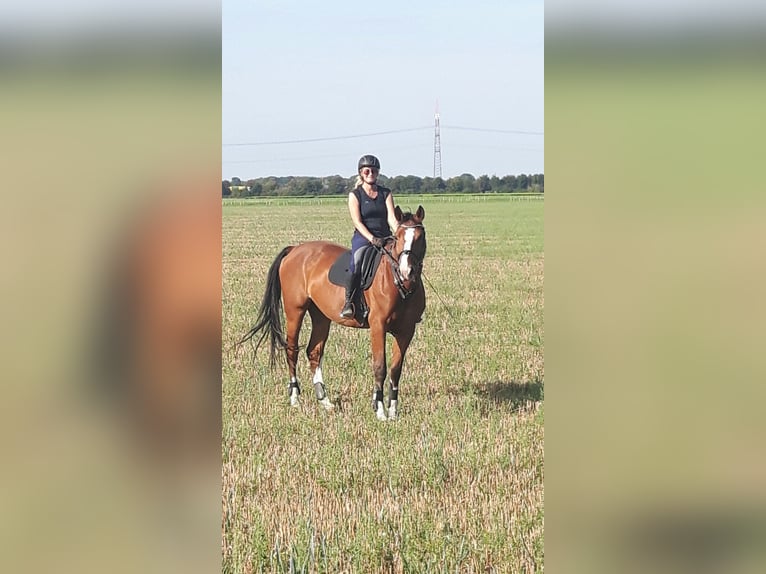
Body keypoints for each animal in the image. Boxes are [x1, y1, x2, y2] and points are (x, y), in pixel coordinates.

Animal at [240, 205, 426, 421]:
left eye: (420, 237)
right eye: (398, 237)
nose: (407, 272)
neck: (397, 283)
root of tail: (294, 249)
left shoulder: (406, 331)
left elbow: (396, 370)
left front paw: (393, 413)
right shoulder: (378, 326)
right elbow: (380, 366)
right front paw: (380, 411)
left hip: (321, 315)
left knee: (313, 351)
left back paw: (324, 400)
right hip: (295, 311)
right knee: (292, 350)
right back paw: (295, 398)